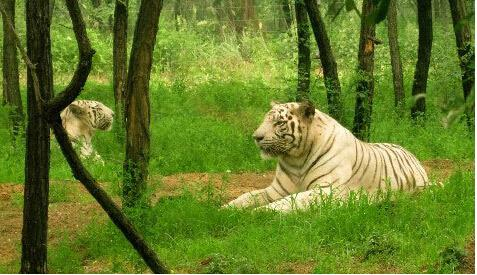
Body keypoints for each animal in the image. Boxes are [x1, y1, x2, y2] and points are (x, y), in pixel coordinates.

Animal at [223, 102, 428, 212]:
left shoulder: (326, 190)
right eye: (265, 120)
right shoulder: (277, 190)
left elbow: (292, 200)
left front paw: (260, 212)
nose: (256, 137)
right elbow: (247, 196)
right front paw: (225, 209)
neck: (296, 158)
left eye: (279, 123)